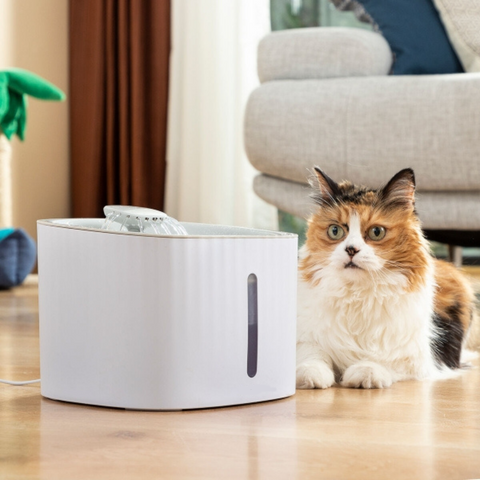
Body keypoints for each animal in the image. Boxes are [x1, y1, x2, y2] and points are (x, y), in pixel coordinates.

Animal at [296, 167, 476, 388]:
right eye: (335, 230)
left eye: (376, 232)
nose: (351, 249)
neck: (358, 294)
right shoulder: (307, 336)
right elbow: (313, 354)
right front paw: (311, 375)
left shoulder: (416, 357)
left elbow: (382, 358)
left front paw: (366, 372)